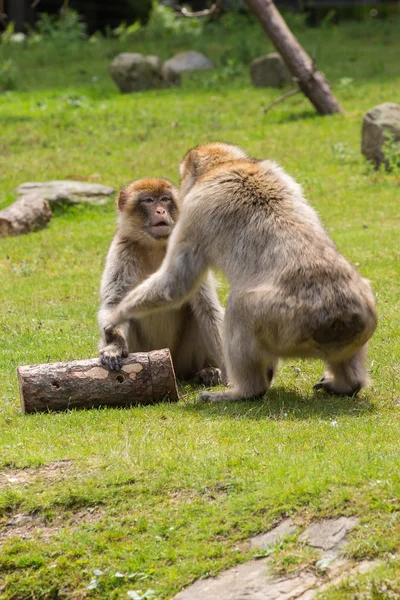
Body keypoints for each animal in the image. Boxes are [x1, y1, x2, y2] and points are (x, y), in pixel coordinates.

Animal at [97, 177, 225, 390]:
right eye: (148, 200)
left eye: (165, 199)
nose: (160, 211)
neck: (154, 245)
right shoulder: (122, 249)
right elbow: (114, 304)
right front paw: (115, 346)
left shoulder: (189, 249)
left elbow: (208, 308)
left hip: (184, 359)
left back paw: (208, 369)